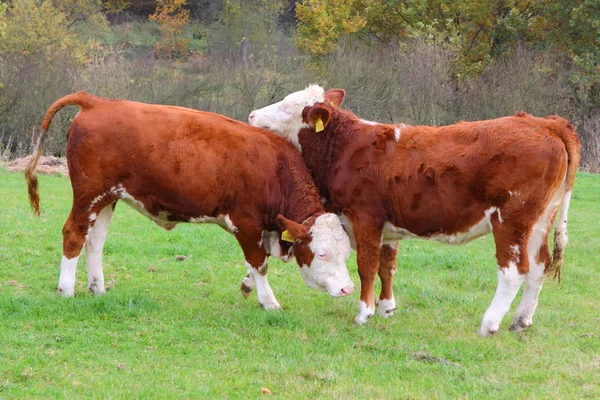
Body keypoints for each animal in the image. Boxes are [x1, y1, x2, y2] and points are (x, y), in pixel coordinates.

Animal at [27, 91, 356, 310]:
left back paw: (98, 288)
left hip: (108, 197)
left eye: (346, 253)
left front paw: (249, 285)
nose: (347, 288)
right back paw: (66, 290)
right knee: (74, 234)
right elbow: (259, 262)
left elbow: (257, 262)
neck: (275, 168)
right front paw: (269, 301)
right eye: (322, 253)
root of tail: (97, 101)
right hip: (88, 195)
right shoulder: (246, 223)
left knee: (94, 242)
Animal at [250, 84, 580, 334]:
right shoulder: (387, 228)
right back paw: (521, 321)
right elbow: (387, 267)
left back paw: (489, 324)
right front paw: (386, 308)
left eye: (288, 108)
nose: (252, 115)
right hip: (539, 220)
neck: (345, 148)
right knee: (539, 266)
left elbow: (366, 266)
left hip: (511, 220)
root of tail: (544, 123)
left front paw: (364, 313)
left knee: (513, 272)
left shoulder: (365, 218)